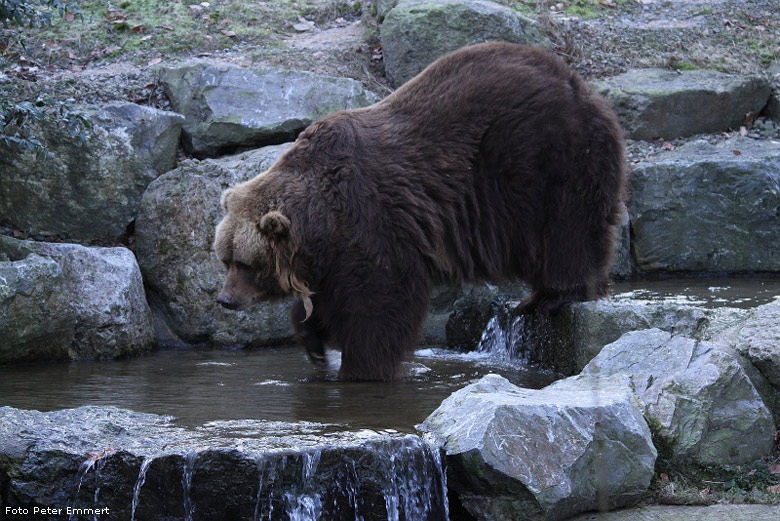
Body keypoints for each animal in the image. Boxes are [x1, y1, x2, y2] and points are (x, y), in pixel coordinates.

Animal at [213, 42, 628, 380]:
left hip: (545, 160)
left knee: (566, 231)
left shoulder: (372, 224)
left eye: (246, 263)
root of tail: (580, 84)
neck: (323, 220)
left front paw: (360, 368)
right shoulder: (333, 255)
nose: (225, 300)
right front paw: (313, 340)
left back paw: (549, 297)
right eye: (225, 258)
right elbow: (323, 300)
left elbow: (379, 307)